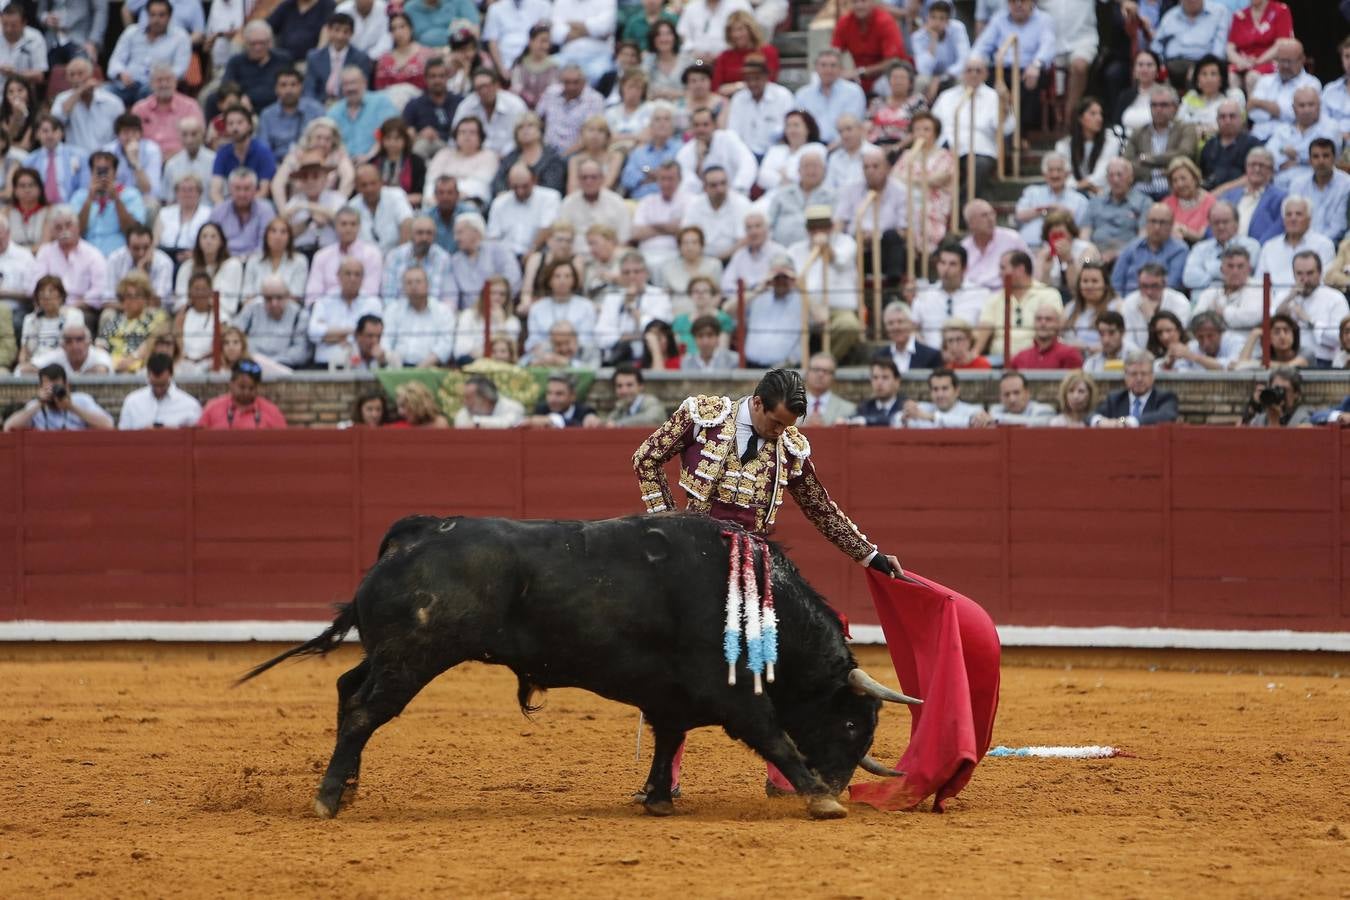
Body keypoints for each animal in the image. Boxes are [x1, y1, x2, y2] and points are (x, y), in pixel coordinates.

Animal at [240, 510, 918, 820]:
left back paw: (348, 785)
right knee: (362, 710)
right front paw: (819, 800)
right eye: (853, 725)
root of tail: (418, 533)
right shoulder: (731, 693)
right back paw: (328, 798)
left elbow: (665, 740)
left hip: (390, 653)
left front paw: (656, 799)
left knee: (346, 686)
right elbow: (774, 735)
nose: (840, 783)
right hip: (413, 657)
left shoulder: (671, 697)